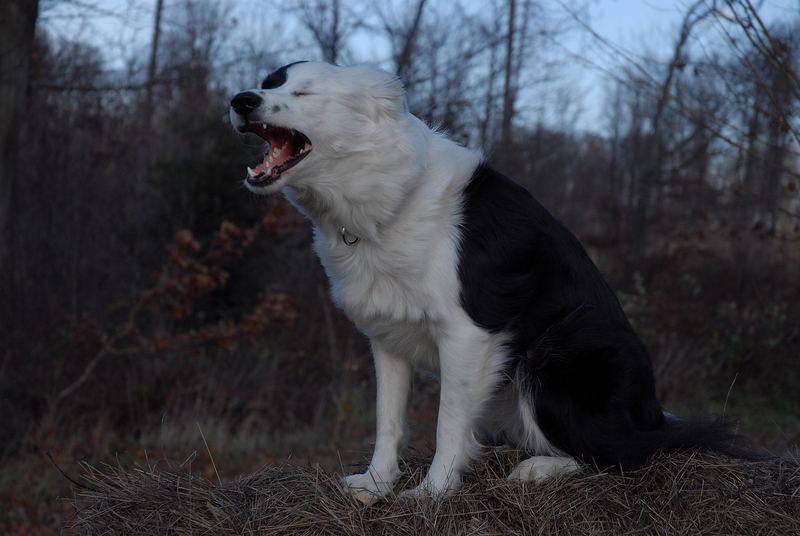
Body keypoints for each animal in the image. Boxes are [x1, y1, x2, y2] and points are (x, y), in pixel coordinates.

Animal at [230, 61, 744, 502]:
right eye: (267, 83)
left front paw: (433, 493)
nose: (240, 99)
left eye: (303, 93)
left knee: (619, 453)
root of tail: (650, 412)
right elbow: (388, 420)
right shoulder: (387, 337)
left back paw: (538, 469)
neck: (387, 191)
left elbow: (447, 422)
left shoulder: (468, 333)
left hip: (552, 357)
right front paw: (376, 484)